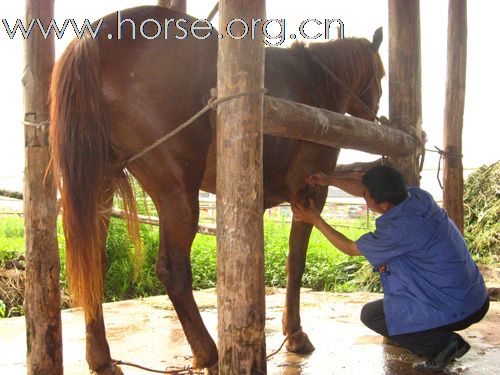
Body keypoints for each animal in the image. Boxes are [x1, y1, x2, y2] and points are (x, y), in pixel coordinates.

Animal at [47, 5, 382, 375]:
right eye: (381, 74)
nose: (376, 117)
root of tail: (95, 39)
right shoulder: (308, 194)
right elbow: (295, 262)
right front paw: (294, 333)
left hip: (99, 182)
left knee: (93, 260)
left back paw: (102, 358)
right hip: (177, 190)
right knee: (173, 270)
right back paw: (208, 353)